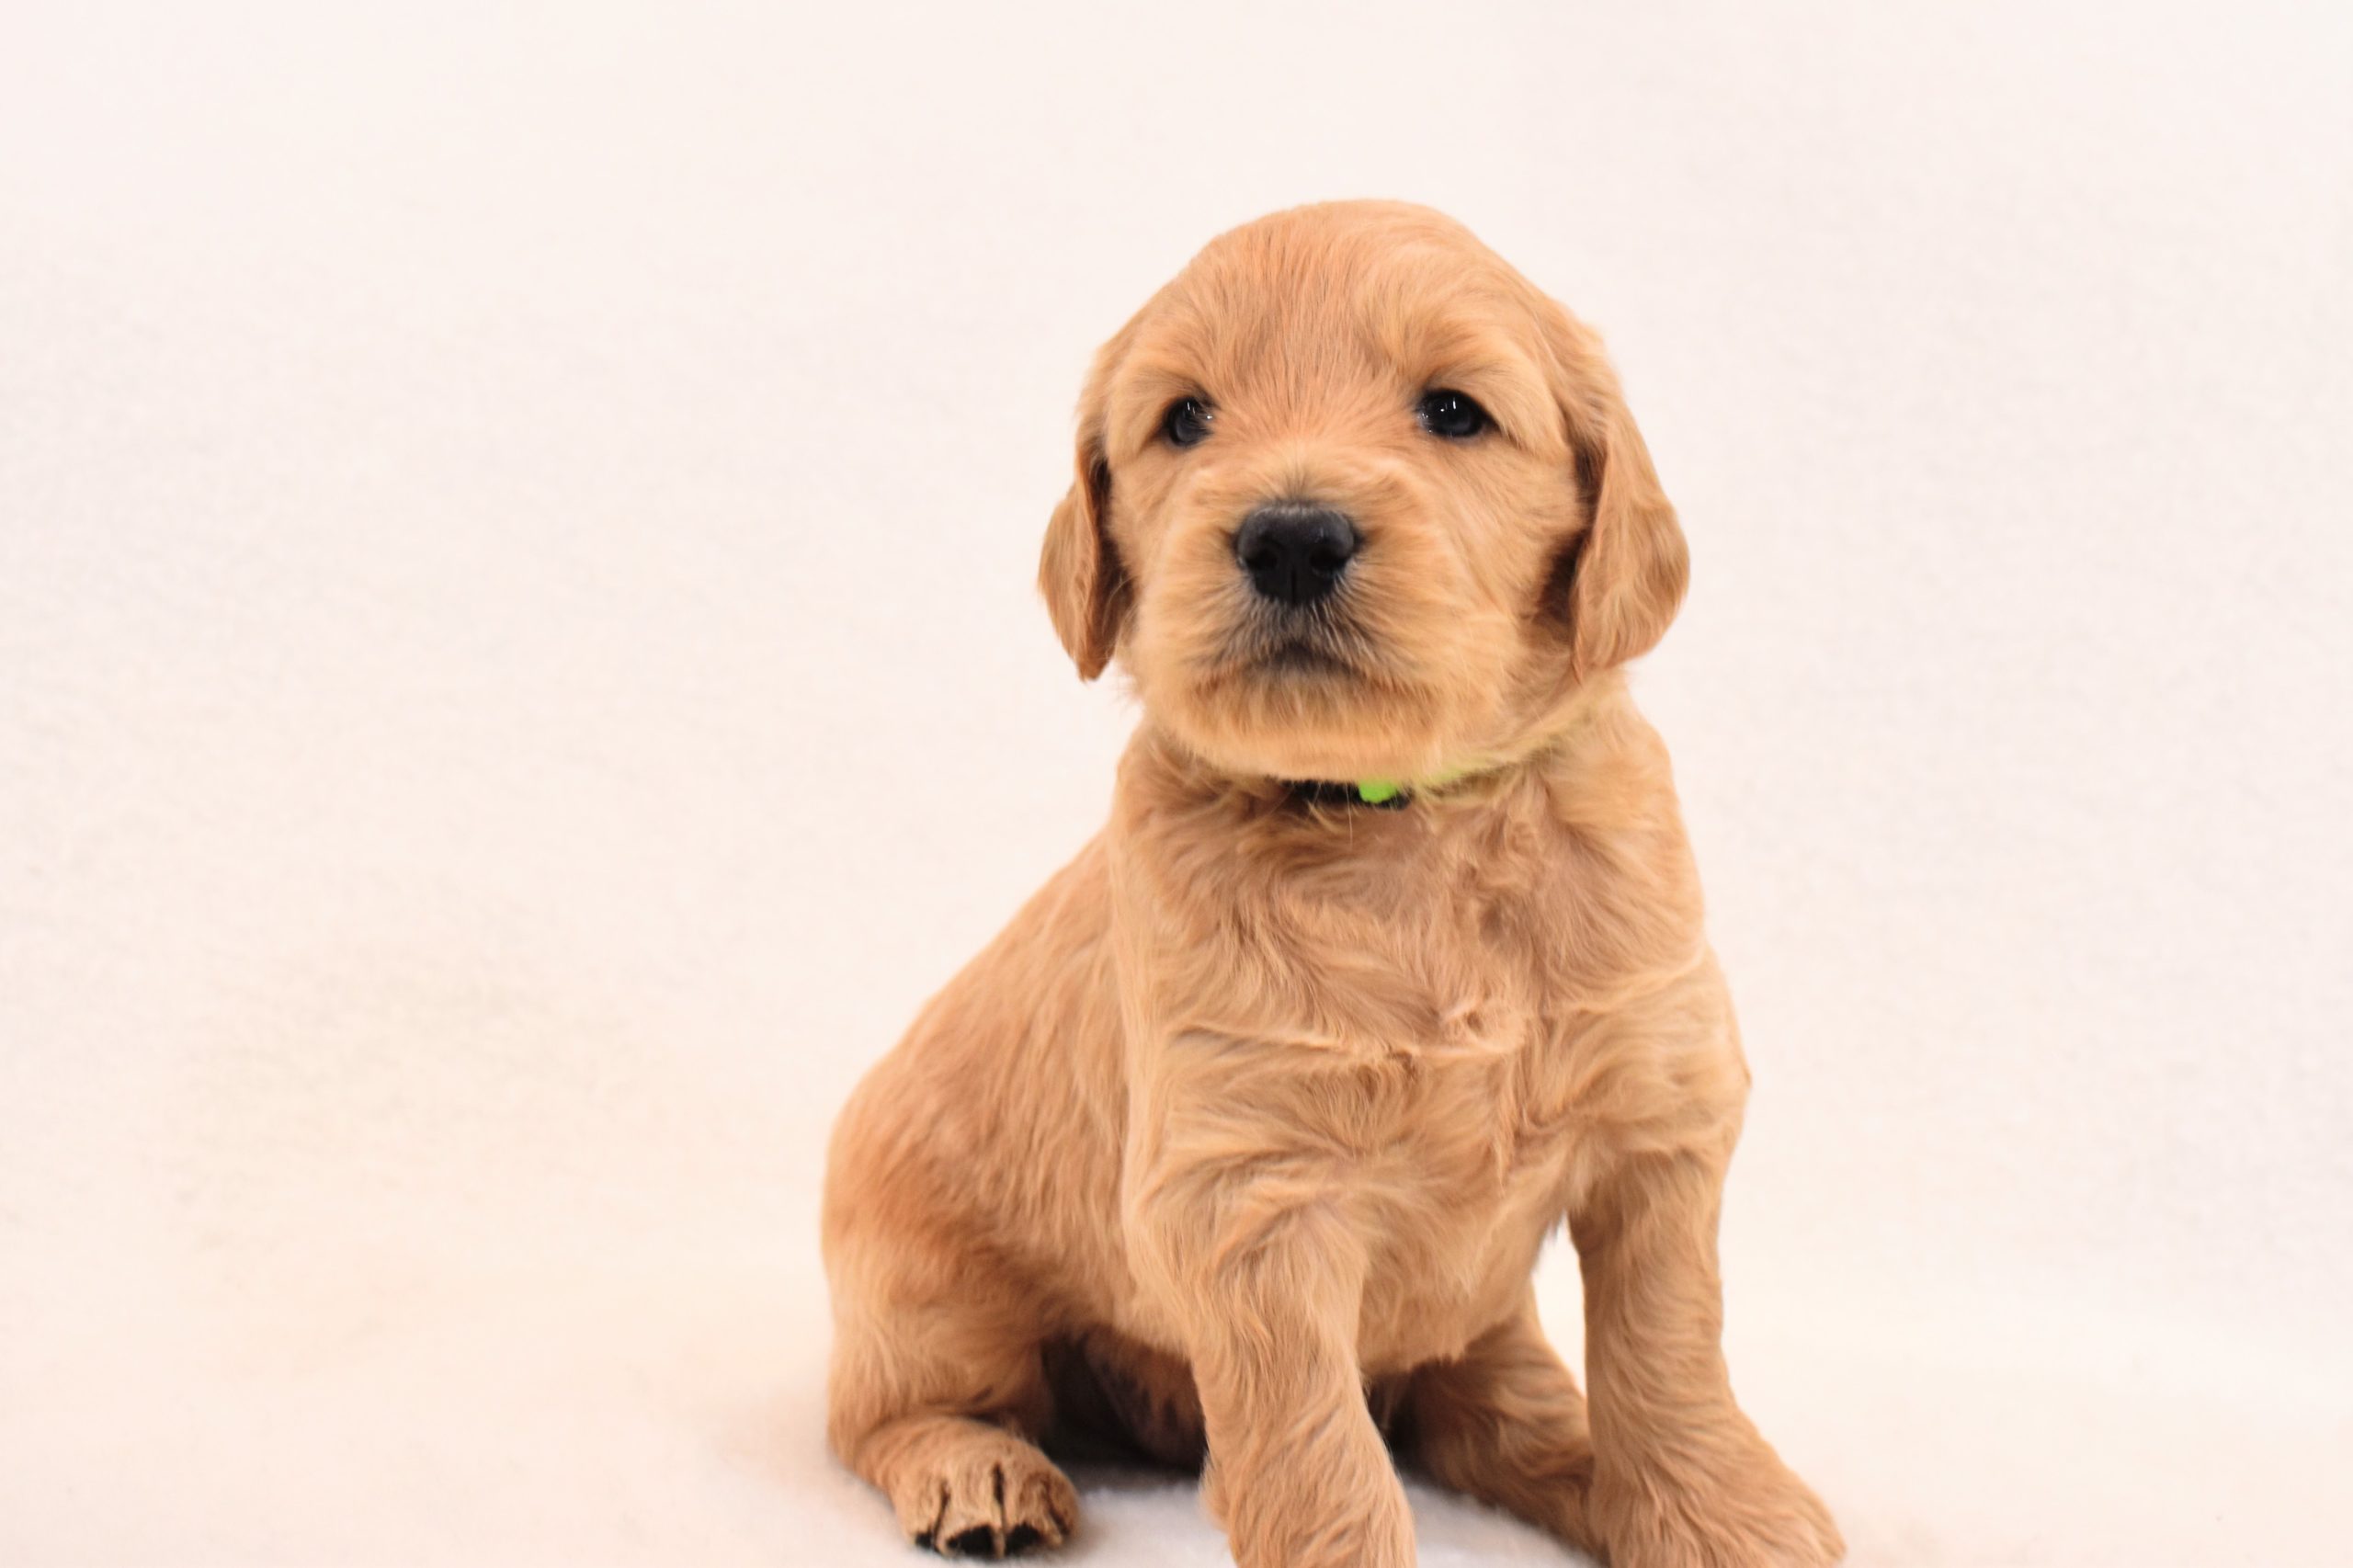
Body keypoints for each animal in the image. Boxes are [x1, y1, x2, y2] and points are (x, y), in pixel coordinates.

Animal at [824, 199, 1835, 1562]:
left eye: (1454, 410)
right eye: (1185, 418)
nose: (1291, 534)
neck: (1405, 822)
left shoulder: (1662, 1108)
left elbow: (1668, 1347)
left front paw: (1717, 1516)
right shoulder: (1247, 1187)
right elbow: (1316, 1454)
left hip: (1479, 1320)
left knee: (1496, 1403)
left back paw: (1574, 1461)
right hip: (924, 1285)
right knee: (881, 1409)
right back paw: (977, 1469)